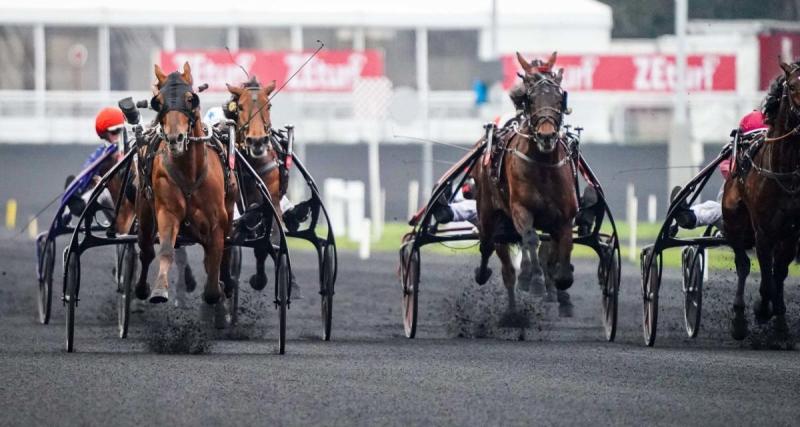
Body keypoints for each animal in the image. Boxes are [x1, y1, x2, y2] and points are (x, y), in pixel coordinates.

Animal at [135, 61, 238, 314]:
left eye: (190, 99)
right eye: (158, 102)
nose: (176, 139)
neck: (190, 172)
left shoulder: (217, 221)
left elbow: (216, 255)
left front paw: (217, 292)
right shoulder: (167, 211)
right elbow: (166, 250)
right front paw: (159, 290)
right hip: (145, 210)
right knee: (146, 249)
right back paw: (141, 287)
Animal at [223, 76, 286, 290]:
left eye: (269, 105)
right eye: (240, 107)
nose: (257, 141)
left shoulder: (272, 200)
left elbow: (267, 242)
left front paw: (259, 280)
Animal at [472, 52, 580, 318]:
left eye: (559, 97)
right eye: (530, 98)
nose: (546, 136)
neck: (543, 164)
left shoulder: (565, 218)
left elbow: (563, 250)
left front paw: (560, 283)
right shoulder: (520, 209)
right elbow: (530, 239)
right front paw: (534, 280)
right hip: (489, 213)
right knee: (490, 248)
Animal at [720, 60, 800, 342]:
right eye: (793, 86)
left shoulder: (791, 232)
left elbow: (779, 273)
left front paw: (781, 323)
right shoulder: (764, 229)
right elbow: (765, 278)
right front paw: (762, 309)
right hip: (734, 221)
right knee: (743, 265)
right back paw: (739, 319)